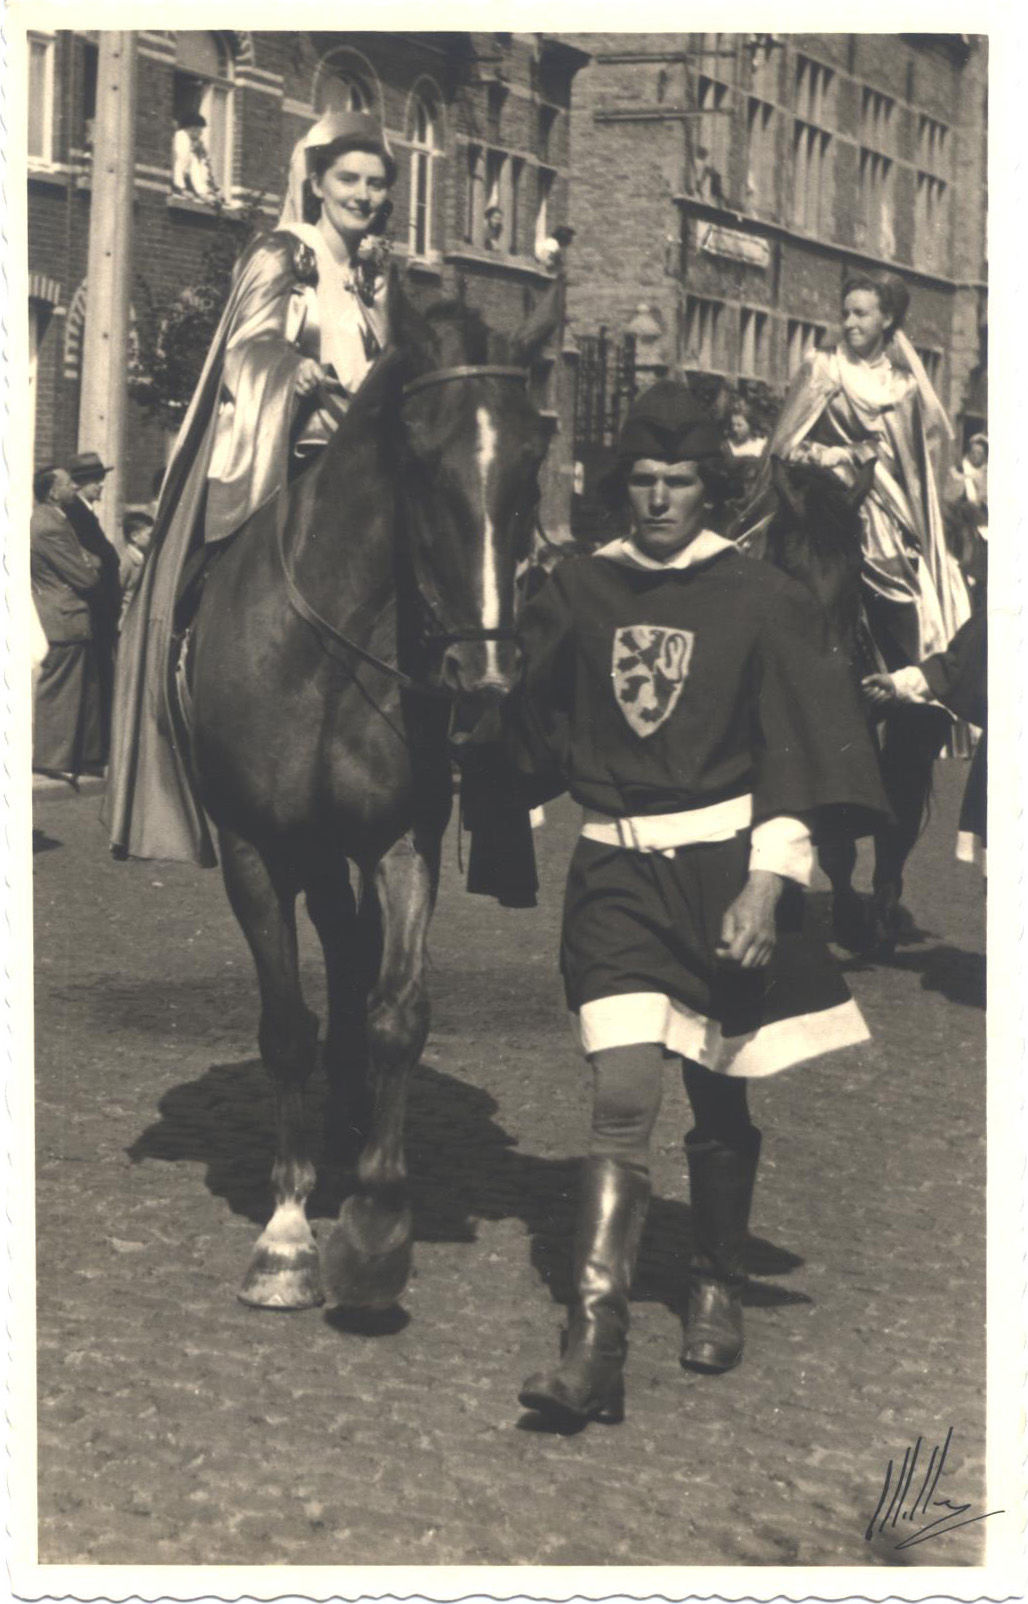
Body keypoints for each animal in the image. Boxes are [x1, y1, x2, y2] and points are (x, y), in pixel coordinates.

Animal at [180, 285, 558, 1315]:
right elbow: (284, 1028)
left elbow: (398, 1012)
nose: (486, 674)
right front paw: (284, 1236)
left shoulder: (400, 839)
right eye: (419, 459)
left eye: (532, 461)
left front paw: (379, 1221)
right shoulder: (254, 851)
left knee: (352, 960)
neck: (322, 652)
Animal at [734, 452, 949, 949]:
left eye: (857, 573)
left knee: (899, 818)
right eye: (789, 572)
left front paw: (849, 917)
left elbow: (840, 839)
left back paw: (883, 910)